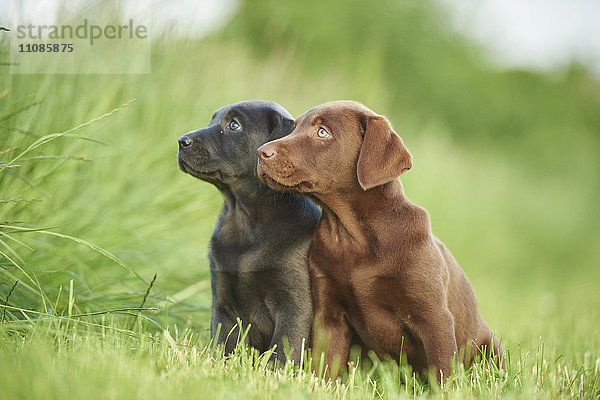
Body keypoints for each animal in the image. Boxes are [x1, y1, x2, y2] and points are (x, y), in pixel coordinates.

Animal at [177, 101, 322, 364]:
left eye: (234, 125)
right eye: (213, 119)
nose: (181, 141)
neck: (244, 217)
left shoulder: (295, 306)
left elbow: (283, 351)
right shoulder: (224, 304)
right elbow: (224, 345)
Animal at [255, 101, 504, 380]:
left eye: (322, 132)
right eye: (294, 127)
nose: (261, 152)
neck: (352, 237)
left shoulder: (434, 317)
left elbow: (441, 371)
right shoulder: (329, 314)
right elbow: (326, 363)